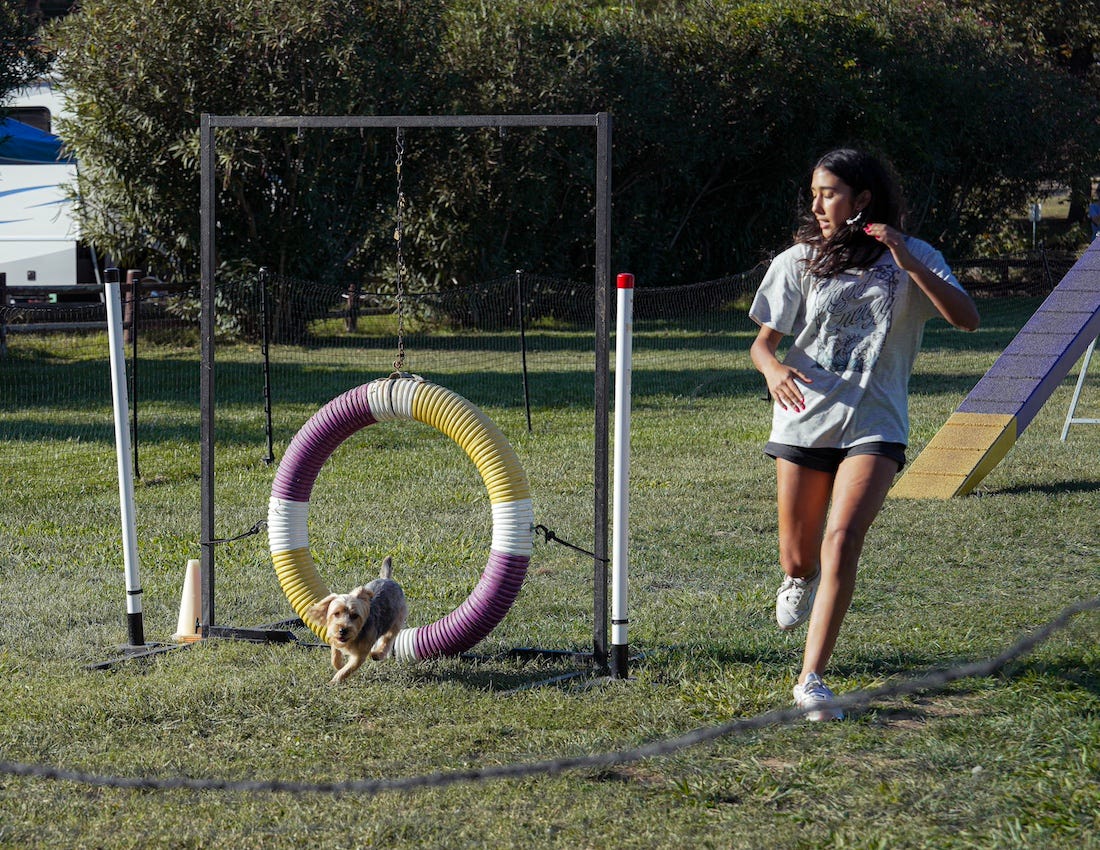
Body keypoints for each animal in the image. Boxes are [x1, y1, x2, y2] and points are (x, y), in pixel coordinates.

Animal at [310, 554, 409, 686]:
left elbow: (348, 669)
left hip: (396, 619)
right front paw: (339, 665)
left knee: (388, 639)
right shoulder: (335, 638)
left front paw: (335, 680)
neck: (353, 638)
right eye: (336, 613)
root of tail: (387, 579)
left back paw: (377, 654)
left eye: (354, 615)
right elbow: (335, 654)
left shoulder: (360, 654)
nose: (342, 630)